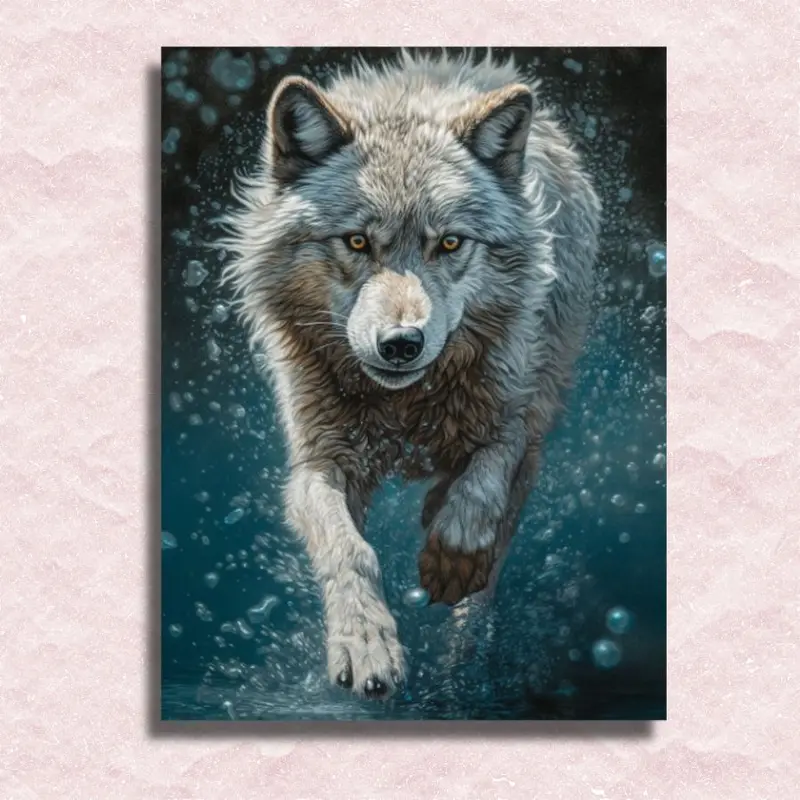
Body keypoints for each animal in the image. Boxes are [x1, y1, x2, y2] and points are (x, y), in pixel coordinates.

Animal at [219, 50, 601, 700]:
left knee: (495, 551)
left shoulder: (513, 419)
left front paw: (450, 558)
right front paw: (366, 644)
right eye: (356, 241)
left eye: (449, 243)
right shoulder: (317, 463)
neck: (403, 409)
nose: (401, 344)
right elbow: (349, 551)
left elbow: (483, 487)